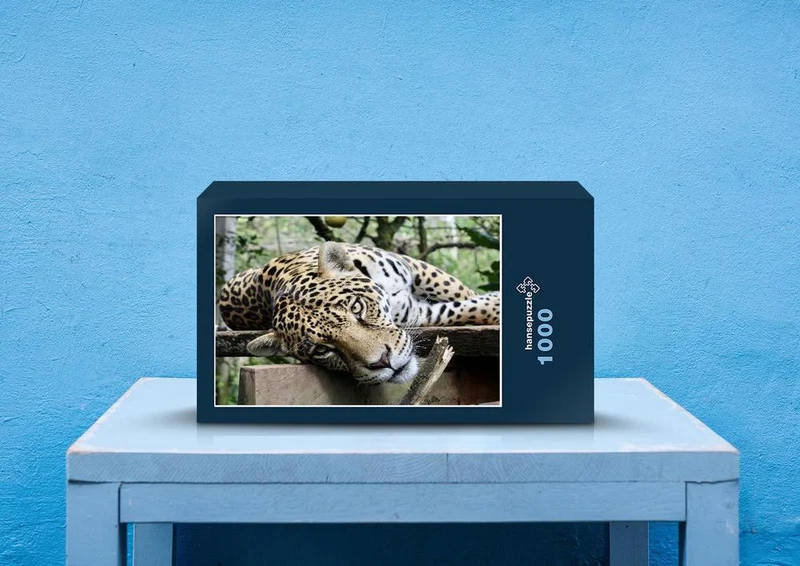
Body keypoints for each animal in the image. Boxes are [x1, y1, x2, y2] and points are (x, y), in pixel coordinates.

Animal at [218, 241, 500, 385]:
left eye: (356, 307)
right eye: (322, 350)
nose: (384, 363)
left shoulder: (415, 267)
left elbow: (457, 290)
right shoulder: (419, 313)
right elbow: (462, 309)